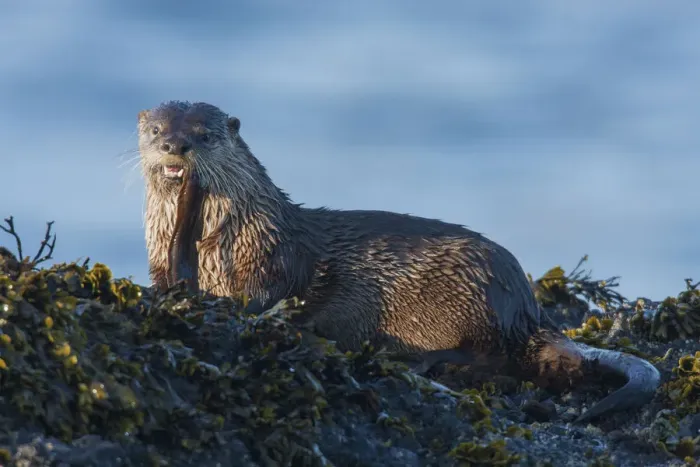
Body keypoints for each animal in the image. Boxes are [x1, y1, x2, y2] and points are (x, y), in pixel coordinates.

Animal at [137, 100, 660, 423]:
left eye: (204, 135)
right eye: (157, 130)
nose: (175, 147)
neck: (223, 241)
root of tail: (528, 311)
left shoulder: (272, 260)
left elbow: (268, 296)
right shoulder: (162, 261)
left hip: (473, 297)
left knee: (494, 358)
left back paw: (422, 358)